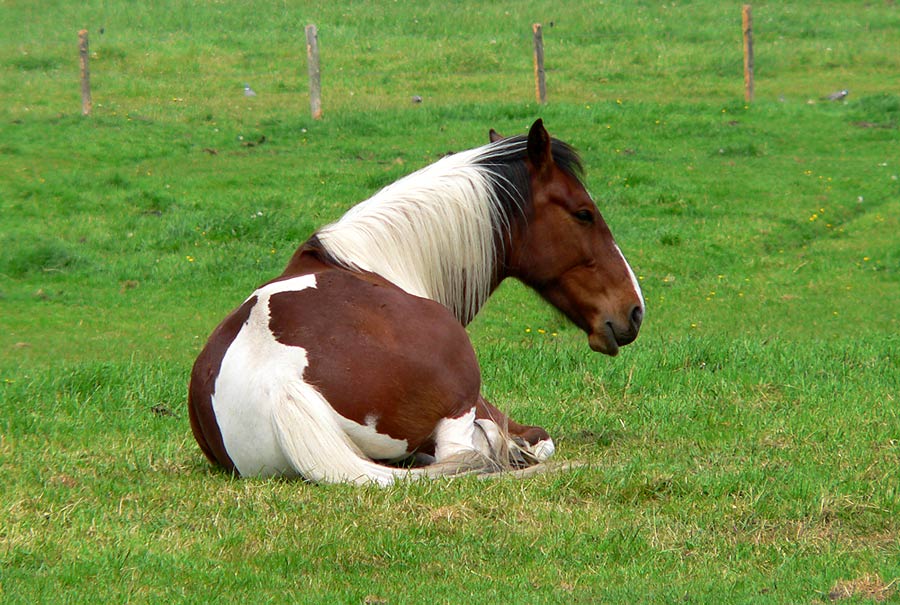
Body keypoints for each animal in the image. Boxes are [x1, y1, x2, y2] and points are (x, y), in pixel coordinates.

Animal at [188, 120, 640, 484]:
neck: (374, 259)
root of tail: (281, 384)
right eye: (584, 213)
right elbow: (536, 439)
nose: (634, 311)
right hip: (460, 403)